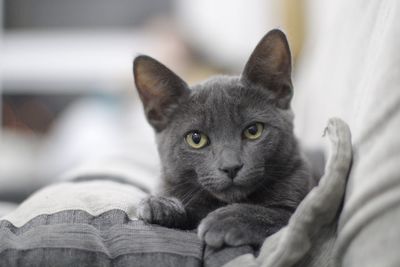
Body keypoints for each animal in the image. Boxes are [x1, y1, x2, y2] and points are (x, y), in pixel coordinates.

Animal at [133, 29, 314, 249]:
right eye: (196, 139)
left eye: (253, 130)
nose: (231, 167)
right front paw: (159, 204)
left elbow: (281, 215)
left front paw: (227, 220)